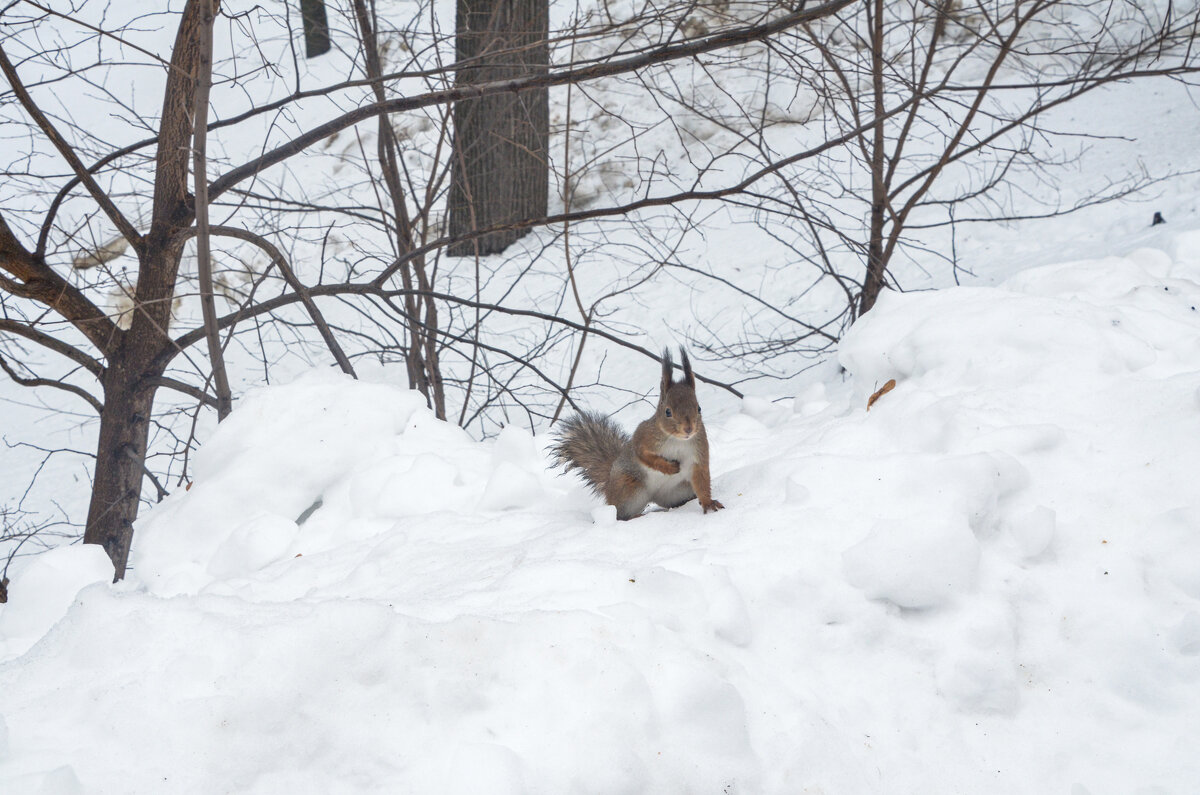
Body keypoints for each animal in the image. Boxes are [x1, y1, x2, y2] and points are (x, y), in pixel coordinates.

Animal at [549, 345, 720, 521]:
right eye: (667, 412)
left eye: (699, 408)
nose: (688, 428)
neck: (677, 440)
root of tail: (610, 487)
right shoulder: (644, 437)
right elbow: (643, 455)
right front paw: (668, 468)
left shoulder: (699, 450)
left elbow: (702, 479)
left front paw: (708, 503)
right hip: (629, 489)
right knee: (621, 516)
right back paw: (637, 516)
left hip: (680, 489)